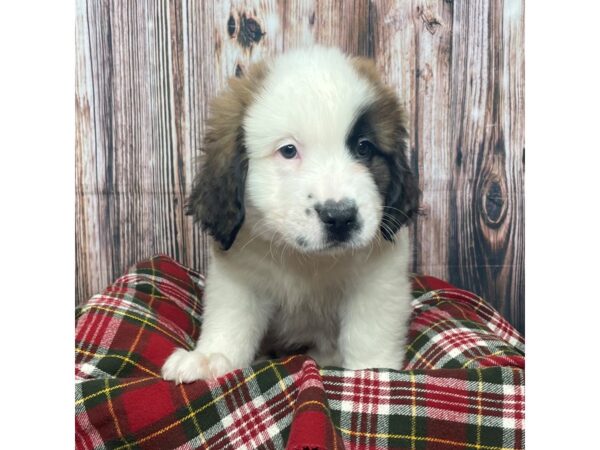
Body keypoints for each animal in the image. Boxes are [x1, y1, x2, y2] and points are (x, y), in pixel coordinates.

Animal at [162, 45, 420, 384]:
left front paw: (370, 373)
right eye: (288, 150)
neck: (307, 261)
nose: (340, 217)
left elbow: (368, 334)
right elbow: (231, 317)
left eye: (364, 148)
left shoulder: (379, 280)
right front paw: (212, 357)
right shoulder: (239, 274)